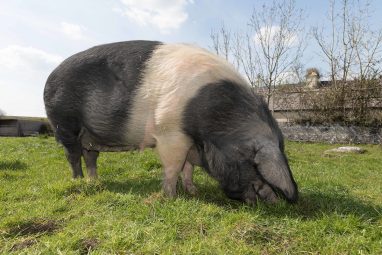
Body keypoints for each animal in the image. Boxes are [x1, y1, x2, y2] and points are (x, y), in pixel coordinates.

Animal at [43, 40, 296, 204]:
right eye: (251, 162)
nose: (269, 200)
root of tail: (50, 76)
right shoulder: (170, 133)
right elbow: (174, 167)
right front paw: (172, 197)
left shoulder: (190, 142)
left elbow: (188, 168)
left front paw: (193, 191)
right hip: (63, 122)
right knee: (73, 155)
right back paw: (78, 182)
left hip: (89, 135)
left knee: (90, 156)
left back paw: (94, 182)